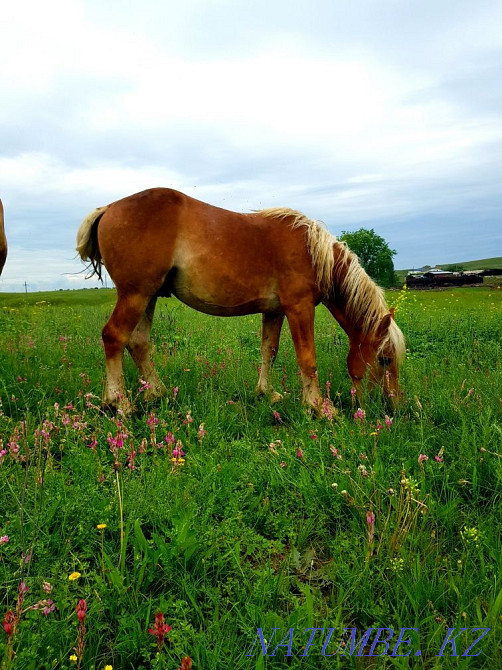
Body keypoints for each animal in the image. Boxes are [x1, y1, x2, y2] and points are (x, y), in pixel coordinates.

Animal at [76, 188, 405, 414]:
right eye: (384, 359)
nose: (393, 406)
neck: (313, 252)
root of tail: (108, 208)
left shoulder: (275, 311)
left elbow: (268, 351)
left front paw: (266, 393)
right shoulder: (299, 308)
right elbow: (307, 358)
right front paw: (318, 407)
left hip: (148, 296)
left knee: (139, 343)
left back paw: (156, 393)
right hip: (135, 294)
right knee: (114, 337)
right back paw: (119, 403)